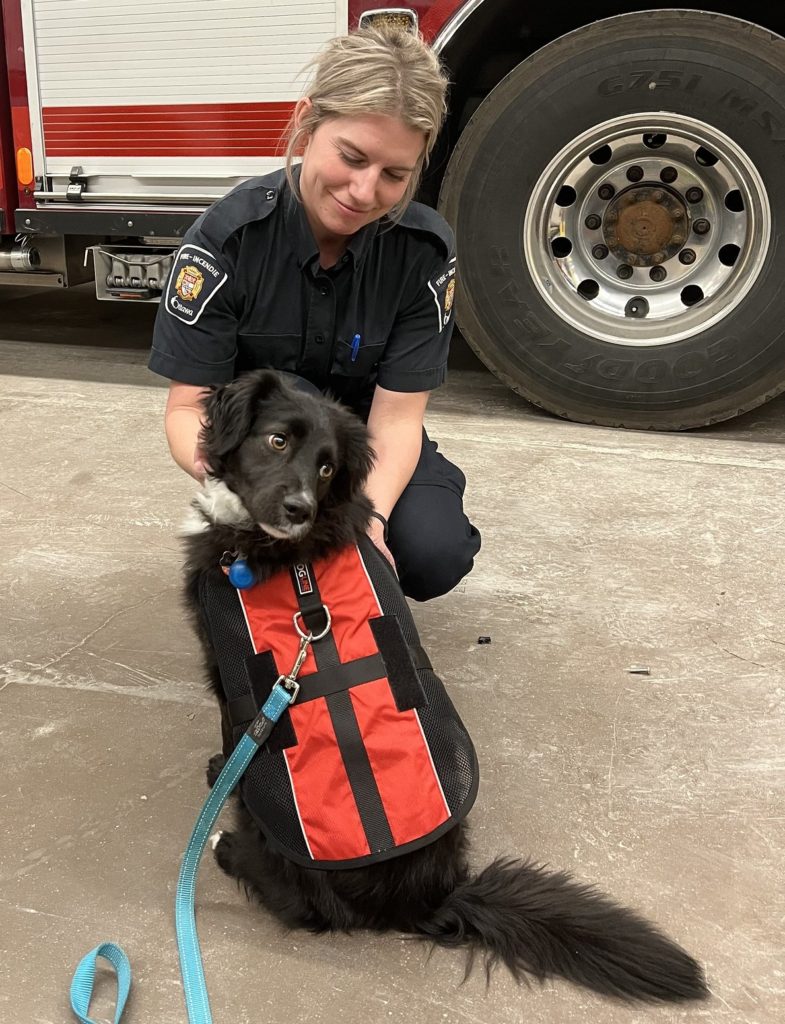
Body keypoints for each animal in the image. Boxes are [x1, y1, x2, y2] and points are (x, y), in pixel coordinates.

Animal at [184, 372, 712, 1003]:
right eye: (278, 440)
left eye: (328, 468)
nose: (299, 509)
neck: (292, 556)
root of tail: (429, 898)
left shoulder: (227, 674)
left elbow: (233, 737)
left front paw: (221, 775)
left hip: (280, 847)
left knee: (301, 909)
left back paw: (229, 849)